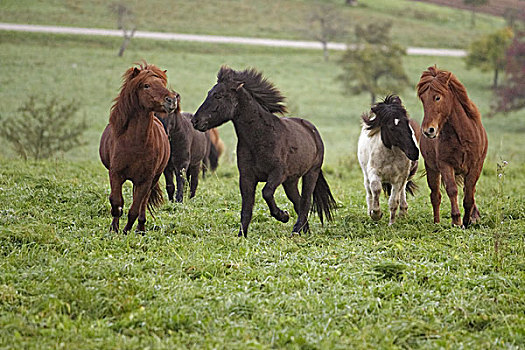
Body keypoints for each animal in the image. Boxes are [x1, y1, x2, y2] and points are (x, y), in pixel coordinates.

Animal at [98, 63, 172, 234]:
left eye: (163, 84)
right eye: (146, 85)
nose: (171, 100)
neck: (134, 144)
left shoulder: (145, 180)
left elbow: (135, 209)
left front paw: (126, 231)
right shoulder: (115, 174)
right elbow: (116, 202)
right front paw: (114, 229)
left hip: (151, 179)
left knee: (143, 203)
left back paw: (141, 229)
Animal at [190, 66, 334, 238]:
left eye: (218, 95)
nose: (195, 121)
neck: (261, 138)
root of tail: (312, 130)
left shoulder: (277, 174)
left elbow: (266, 192)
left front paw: (283, 216)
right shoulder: (246, 177)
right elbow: (246, 208)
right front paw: (241, 236)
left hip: (311, 174)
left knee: (305, 202)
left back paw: (295, 230)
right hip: (291, 181)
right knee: (298, 202)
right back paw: (304, 231)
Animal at [356, 94, 418, 224]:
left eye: (407, 123)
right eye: (391, 128)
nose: (414, 152)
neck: (390, 155)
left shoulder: (399, 178)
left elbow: (394, 201)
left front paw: (391, 223)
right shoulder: (374, 173)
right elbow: (376, 189)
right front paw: (376, 214)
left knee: (402, 193)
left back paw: (403, 212)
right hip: (366, 175)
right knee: (369, 193)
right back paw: (370, 211)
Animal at [418, 67, 488, 228]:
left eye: (437, 97)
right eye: (423, 99)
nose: (428, 130)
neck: (462, 136)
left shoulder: (475, 167)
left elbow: (469, 195)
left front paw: (467, 221)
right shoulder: (445, 165)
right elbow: (452, 190)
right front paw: (456, 220)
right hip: (432, 169)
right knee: (435, 196)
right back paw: (437, 223)